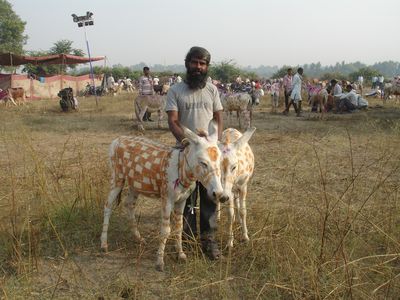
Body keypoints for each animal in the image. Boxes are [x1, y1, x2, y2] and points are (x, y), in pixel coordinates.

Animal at [100, 120, 230, 272]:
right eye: (203, 162)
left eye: (220, 161)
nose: (219, 194)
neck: (183, 172)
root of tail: (116, 140)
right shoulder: (167, 199)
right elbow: (166, 230)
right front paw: (159, 262)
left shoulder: (182, 200)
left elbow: (179, 227)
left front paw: (181, 255)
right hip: (117, 178)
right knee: (107, 206)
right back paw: (103, 245)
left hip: (135, 185)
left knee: (129, 204)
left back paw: (139, 239)